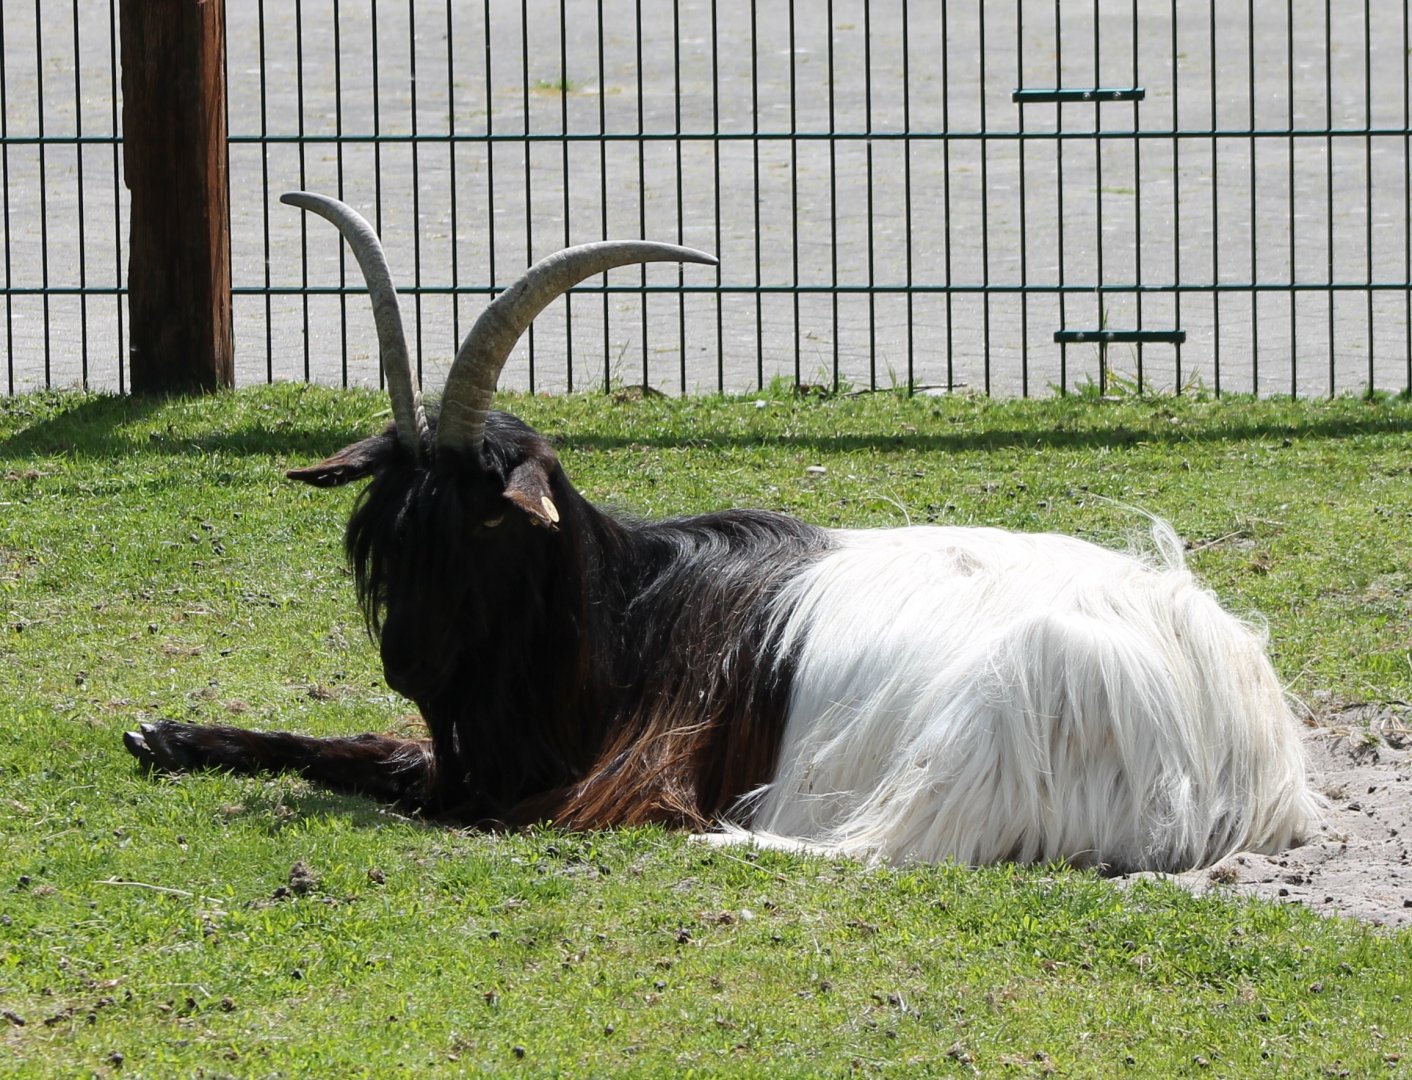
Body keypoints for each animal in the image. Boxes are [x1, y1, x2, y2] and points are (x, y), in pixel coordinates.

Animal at [123, 191, 1321, 873]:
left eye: (485, 526)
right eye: (384, 535)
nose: (407, 662)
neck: (622, 616)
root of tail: (1244, 748)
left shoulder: (600, 771)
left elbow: (451, 793)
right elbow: (376, 753)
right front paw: (173, 735)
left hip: (1007, 700)